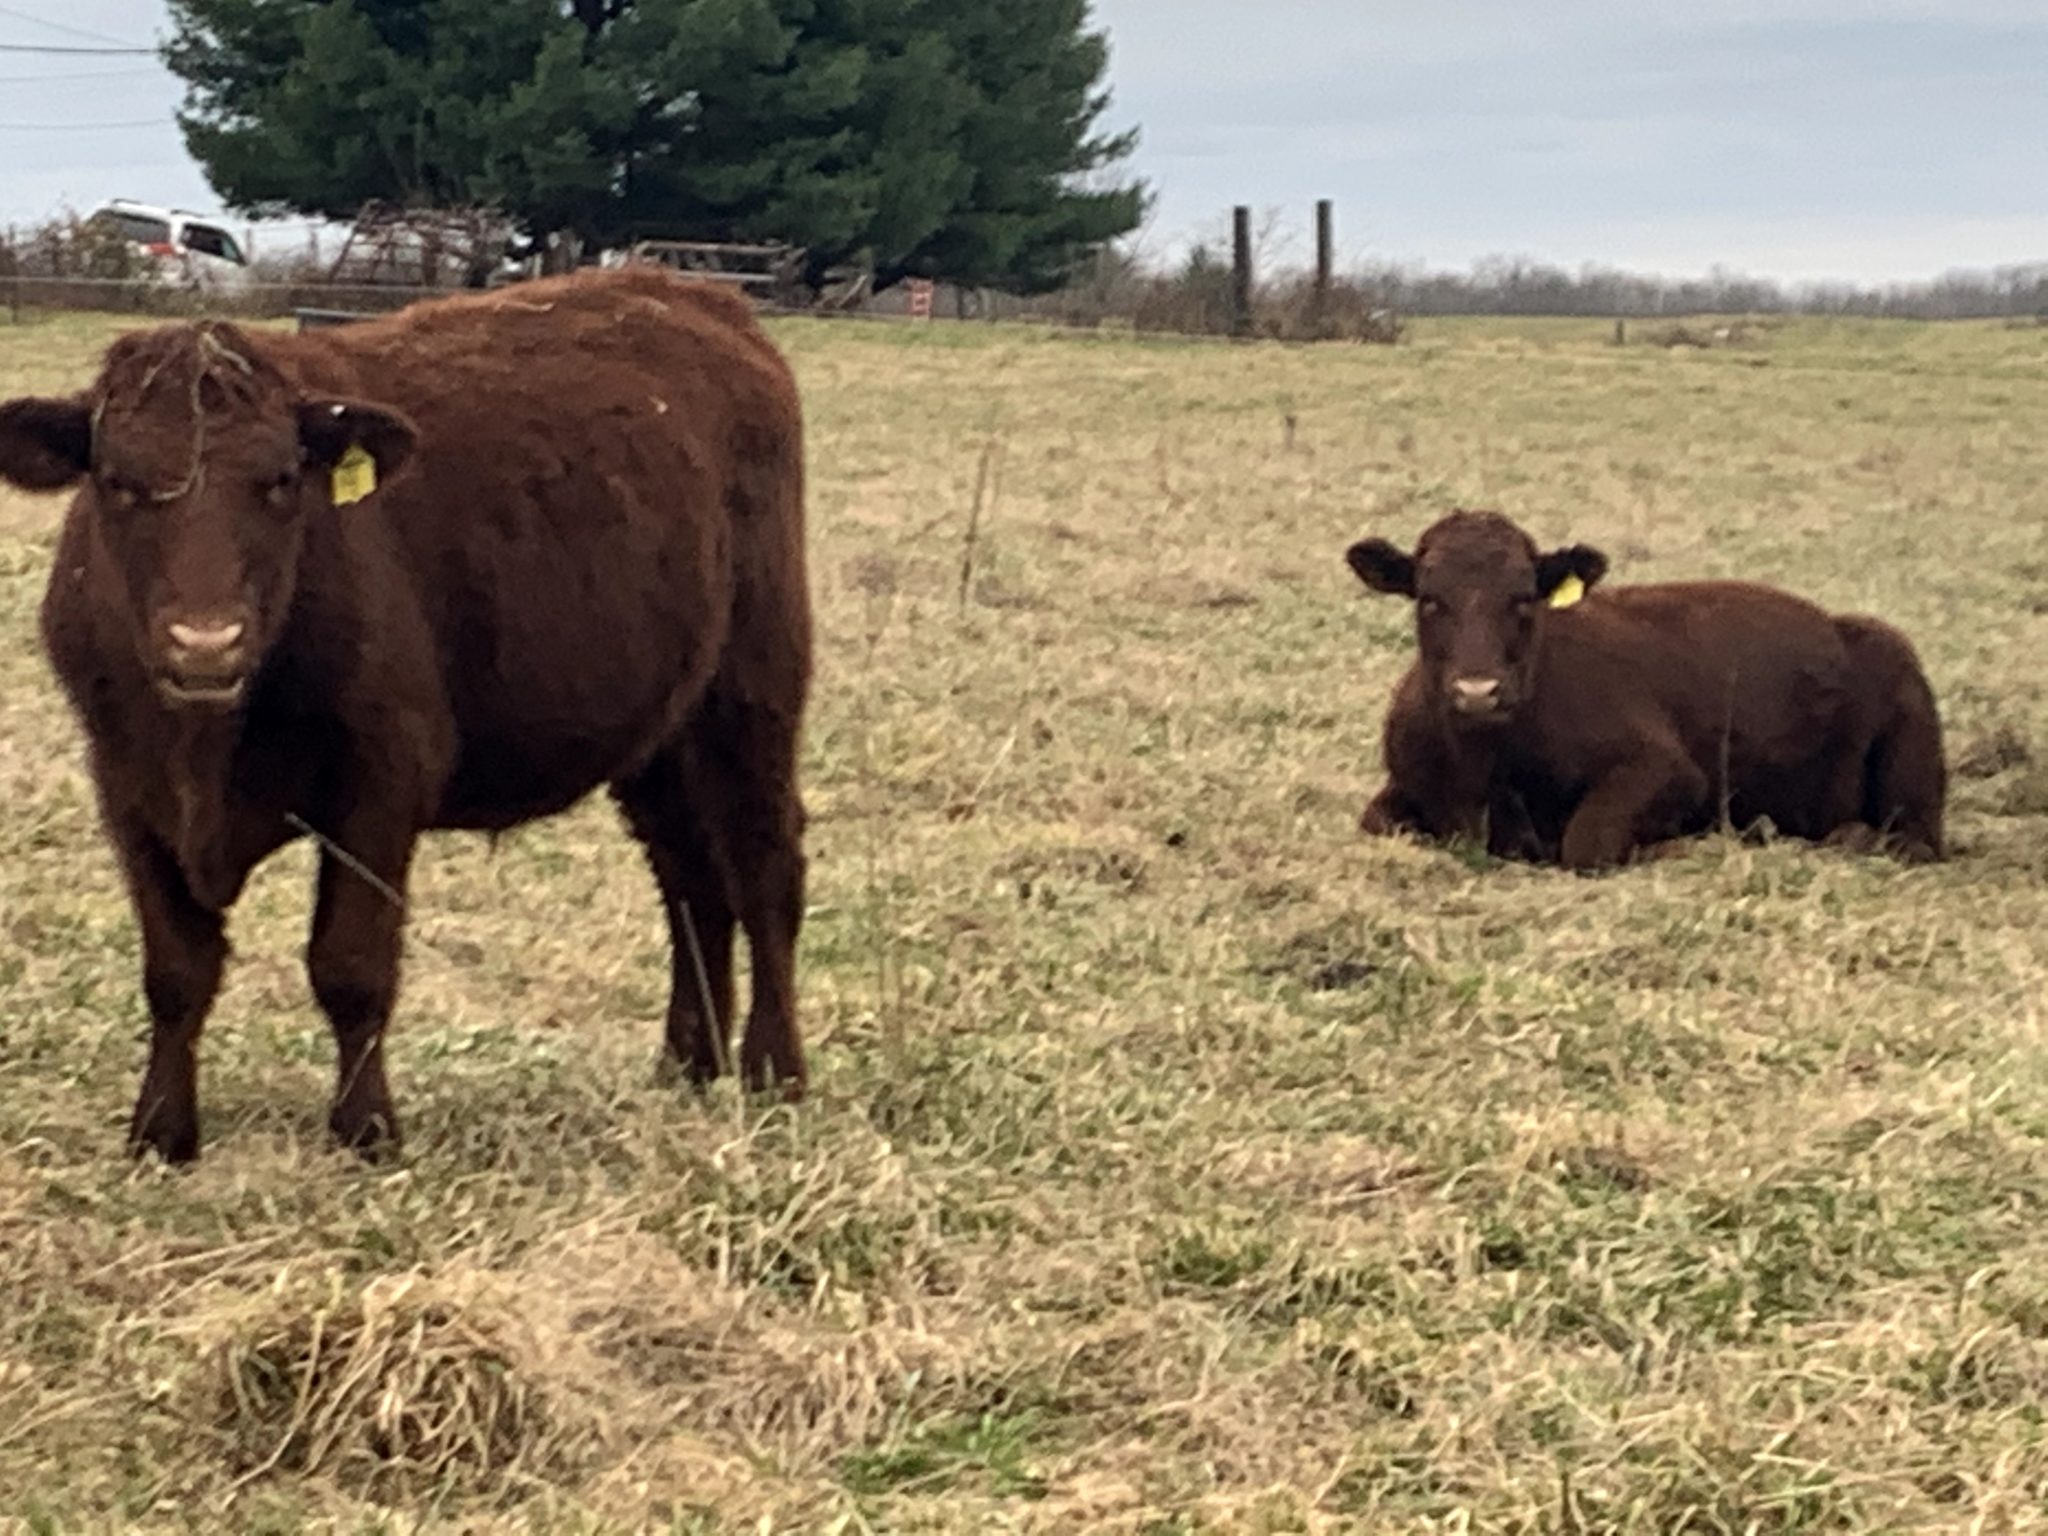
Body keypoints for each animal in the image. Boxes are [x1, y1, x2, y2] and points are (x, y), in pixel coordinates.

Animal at [0, 266, 812, 1163]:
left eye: (280, 480)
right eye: (118, 482)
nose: (205, 641)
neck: (204, 749)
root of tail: (693, 292)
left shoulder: (381, 781)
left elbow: (351, 965)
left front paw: (366, 1128)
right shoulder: (127, 788)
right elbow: (177, 971)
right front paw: (161, 1130)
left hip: (753, 690)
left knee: (764, 869)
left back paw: (775, 1071)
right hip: (660, 730)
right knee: (691, 880)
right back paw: (688, 1063)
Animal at [1344, 509, 1945, 870]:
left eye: (1523, 598)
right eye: (1429, 599)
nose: (1477, 691)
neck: (1486, 767)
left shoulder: (1670, 770)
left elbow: (1587, 841)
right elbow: (1379, 821)